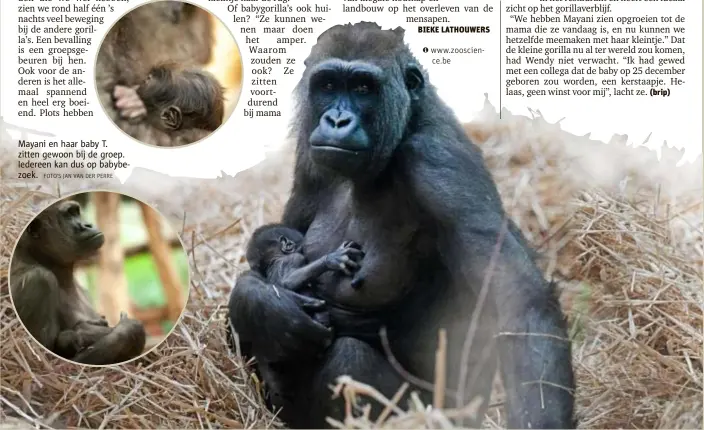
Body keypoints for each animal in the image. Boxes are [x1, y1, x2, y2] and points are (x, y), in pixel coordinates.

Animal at [228, 21, 576, 428]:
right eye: (327, 85)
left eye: (363, 88)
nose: (336, 121)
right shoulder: (309, 157)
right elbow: (268, 257)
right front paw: (263, 305)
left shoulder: (437, 160)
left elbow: (520, 302)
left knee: (350, 359)